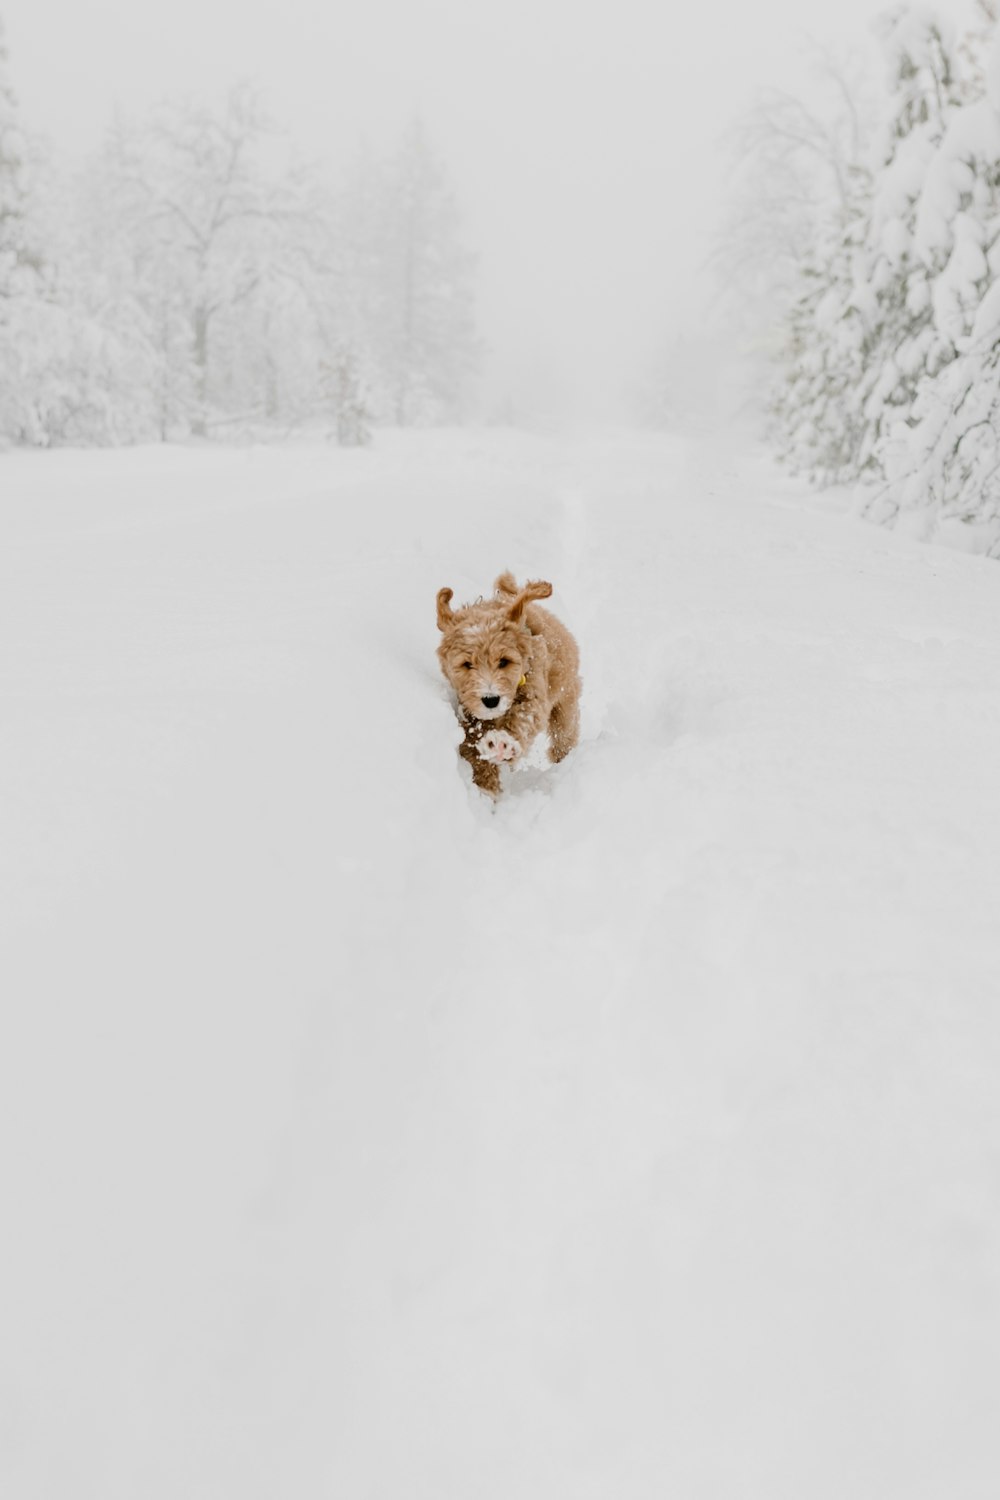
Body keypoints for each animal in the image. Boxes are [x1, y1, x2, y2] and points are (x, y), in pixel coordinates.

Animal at [434, 570, 581, 798]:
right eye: (467, 664)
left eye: (504, 662)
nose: (491, 700)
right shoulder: (468, 712)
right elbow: (473, 750)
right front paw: (486, 789)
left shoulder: (533, 692)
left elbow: (523, 717)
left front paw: (502, 743)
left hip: (566, 700)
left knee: (564, 733)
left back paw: (563, 761)